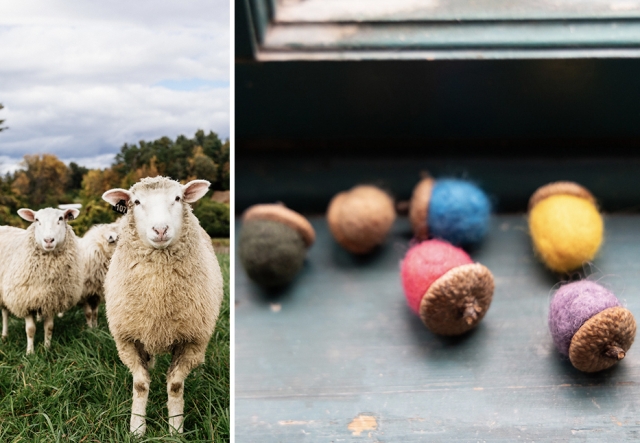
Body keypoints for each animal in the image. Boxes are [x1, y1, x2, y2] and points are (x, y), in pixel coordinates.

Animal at [0, 207, 82, 354]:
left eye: (61, 218)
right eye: (36, 220)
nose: (48, 240)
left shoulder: (50, 300)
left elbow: (49, 327)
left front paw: (47, 349)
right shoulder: (25, 300)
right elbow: (30, 329)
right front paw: (30, 353)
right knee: (4, 313)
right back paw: (4, 335)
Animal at [102, 176, 223, 436]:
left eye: (177, 198)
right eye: (136, 202)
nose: (160, 230)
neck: (158, 297)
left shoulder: (192, 340)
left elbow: (176, 385)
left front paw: (175, 429)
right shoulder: (127, 339)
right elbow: (140, 384)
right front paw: (137, 428)